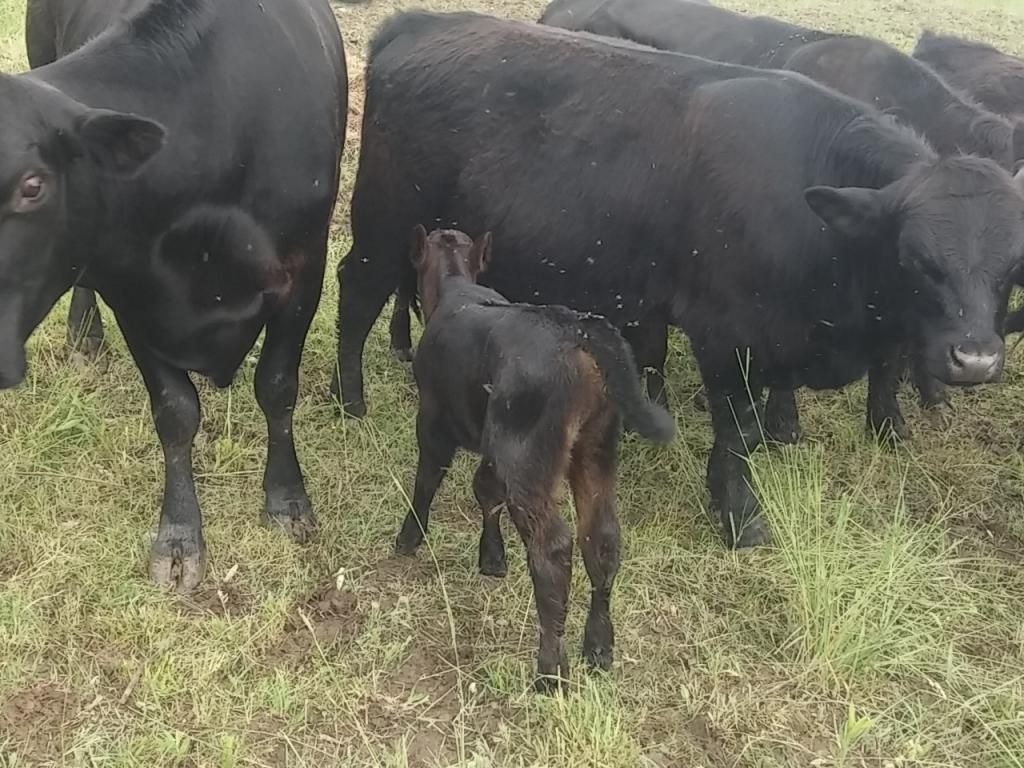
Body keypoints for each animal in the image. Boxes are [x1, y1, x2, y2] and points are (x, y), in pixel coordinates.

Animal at [4, 0, 348, 592]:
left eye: (32, 186)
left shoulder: (305, 269)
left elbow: (277, 385)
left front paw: (286, 500)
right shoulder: (136, 297)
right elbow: (176, 412)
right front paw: (180, 538)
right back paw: (84, 333)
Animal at [398, 226, 674, 690]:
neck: (457, 287)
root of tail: (576, 328)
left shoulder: (433, 418)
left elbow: (428, 478)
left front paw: (409, 536)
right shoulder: (494, 448)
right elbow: (485, 489)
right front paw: (492, 557)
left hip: (528, 457)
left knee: (553, 549)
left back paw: (550, 669)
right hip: (594, 444)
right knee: (601, 537)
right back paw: (598, 646)